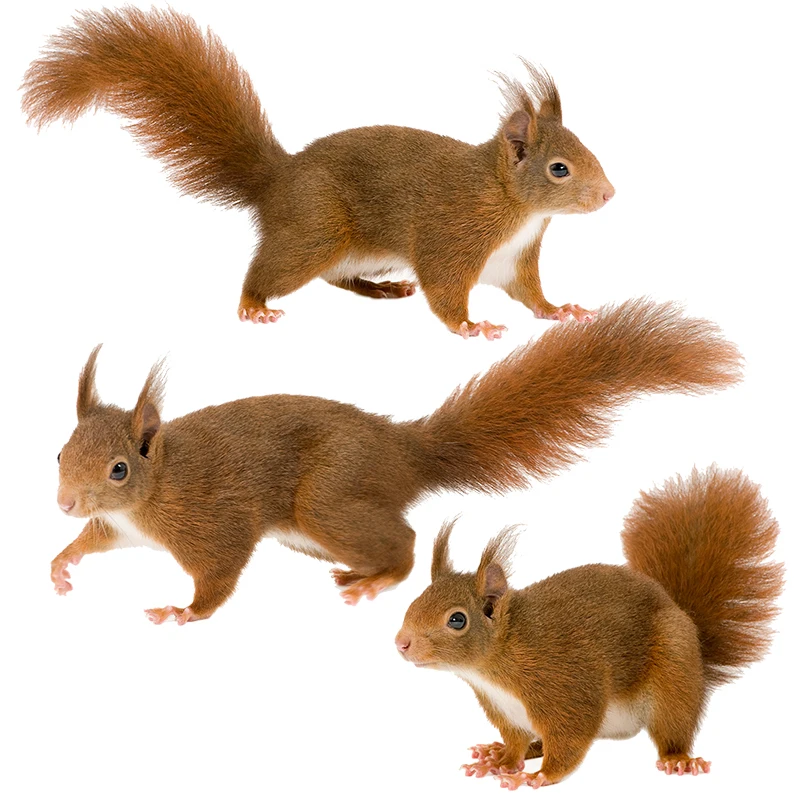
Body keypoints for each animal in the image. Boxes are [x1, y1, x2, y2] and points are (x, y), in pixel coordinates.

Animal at [23, 7, 614, 338]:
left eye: (586, 148)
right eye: (559, 169)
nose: (610, 194)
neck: (515, 208)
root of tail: (277, 179)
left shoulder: (514, 259)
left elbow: (530, 294)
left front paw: (561, 310)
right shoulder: (452, 237)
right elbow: (445, 292)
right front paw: (473, 326)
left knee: (338, 278)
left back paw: (382, 291)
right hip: (314, 233)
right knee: (269, 273)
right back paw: (254, 307)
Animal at [53, 299, 741, 624]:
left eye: (118, 469)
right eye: (59, 450)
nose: (63, 501)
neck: (155, 486)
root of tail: (405, 451)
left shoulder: (208, 522)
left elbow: (217, 576)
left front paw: (184, 611)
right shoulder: (120, 528)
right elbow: (94, 542)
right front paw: (62, 565)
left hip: (327, 502)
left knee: (406, 543)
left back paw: (376, 581)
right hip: (312, 532)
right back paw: (361, 574)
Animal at [395, 466, 784, 788]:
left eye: (457, 619)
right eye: (416, 599)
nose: (401, 643)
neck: (496, 664)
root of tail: (686, 621)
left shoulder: (565, 687)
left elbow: (570, 739)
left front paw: (538, 777)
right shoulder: (506, 712)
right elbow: (516, 742)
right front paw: (501, 760)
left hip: (674, 677)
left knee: (672, 726)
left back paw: (678, 759)